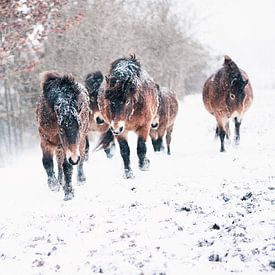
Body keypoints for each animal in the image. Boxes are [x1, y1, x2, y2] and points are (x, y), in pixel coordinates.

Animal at [36, 71, 89, 201]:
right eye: (61, 128)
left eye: (79, 126)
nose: (74, 158)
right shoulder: (45, 141)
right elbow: (47, 162)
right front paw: (53, 185)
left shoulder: (68, 147)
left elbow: (67, 167)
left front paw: (69, 193)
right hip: (58, 147)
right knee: (58, 163)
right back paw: (60, 182)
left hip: (81, 141)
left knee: (81, 158)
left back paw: (80, 179)